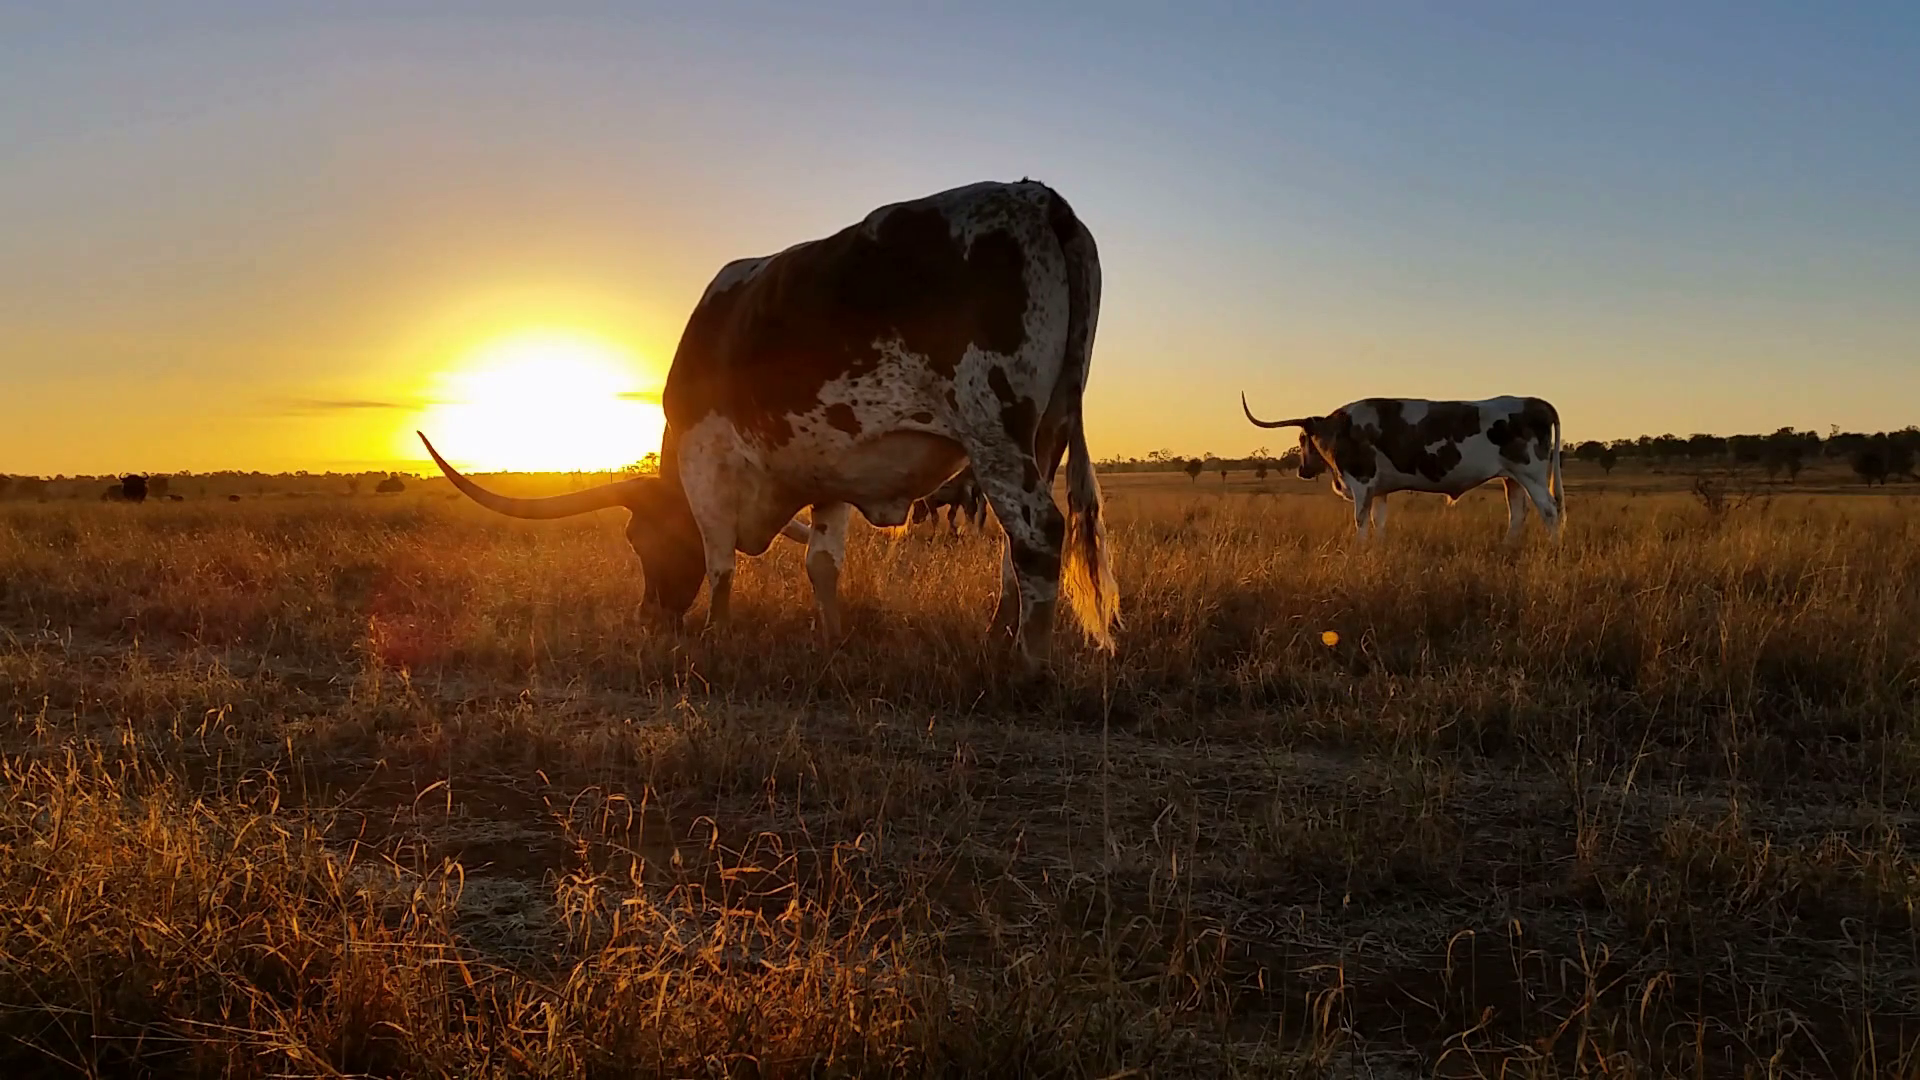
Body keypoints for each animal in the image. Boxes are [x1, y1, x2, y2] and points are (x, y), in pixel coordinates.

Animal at [420, 180, 1118, 663]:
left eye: (638, 541)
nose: (650, 618)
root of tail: (1039, 197)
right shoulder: (834, 471)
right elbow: (822, 562)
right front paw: (831, 640)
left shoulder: (705, 462)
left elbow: (719, 557)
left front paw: (716, 633)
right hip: (1048, 431)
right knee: (1015, 545)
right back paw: (997, 637)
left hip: (994, 425)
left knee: (1037, 531)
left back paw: (1027, 665)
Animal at [1241, 393, 1563, 543]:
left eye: (1301, 439)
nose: (1302, 471)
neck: (1341, 429)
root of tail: (1535, 401)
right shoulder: (1379, 489)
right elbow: (1378, 521)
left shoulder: (1361, 481)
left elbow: (1360, 519)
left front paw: (1358, 549)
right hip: (1513, 478)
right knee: (1518, 514)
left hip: (1531, 475)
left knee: (1550, 511)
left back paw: (1553, 549)